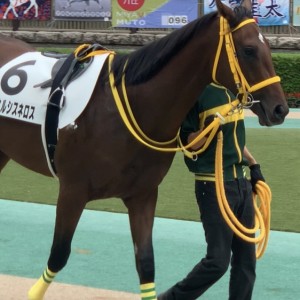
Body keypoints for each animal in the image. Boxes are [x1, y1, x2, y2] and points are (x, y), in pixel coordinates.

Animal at [0, 0, 288, 300]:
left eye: (269, 47)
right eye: (249, 50)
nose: (280, 109)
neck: (125, 108)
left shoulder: (143, 195)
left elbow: (146, 262)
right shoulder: (72, 191)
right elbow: (58, 255)